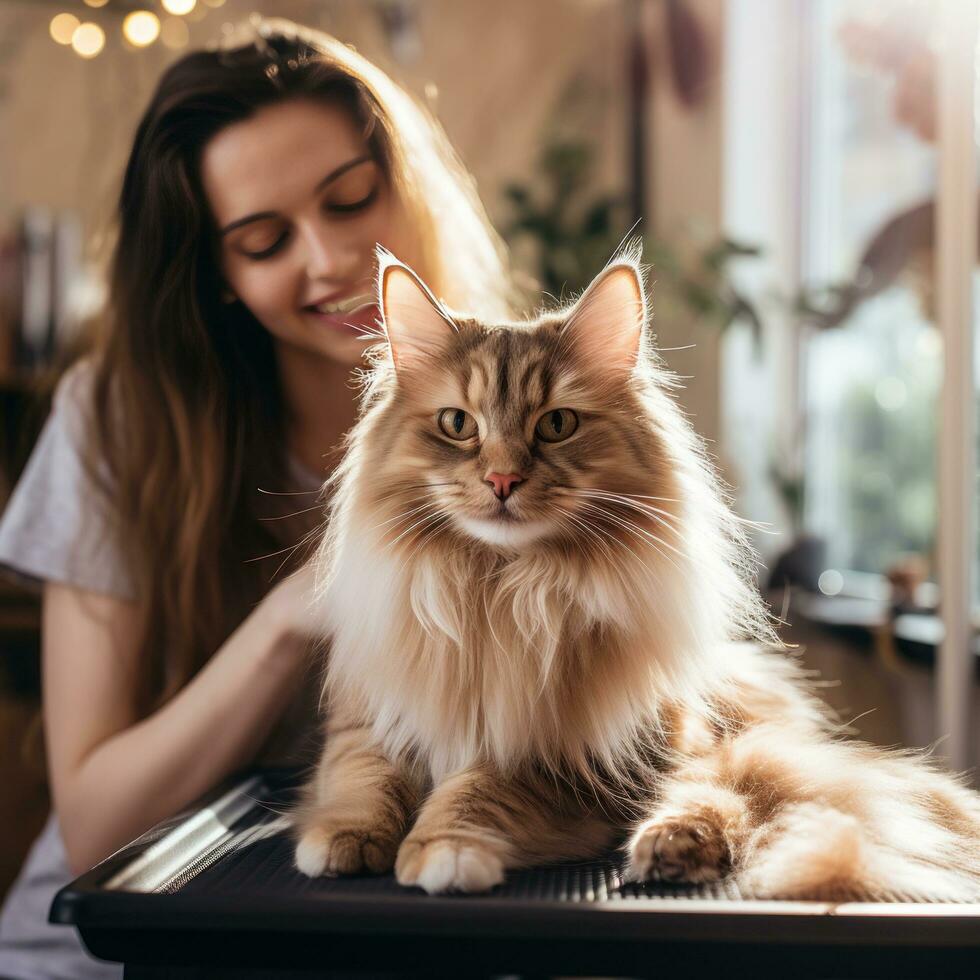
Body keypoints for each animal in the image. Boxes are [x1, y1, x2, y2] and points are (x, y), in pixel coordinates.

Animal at [292, 249, 980, 900]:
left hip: (709, 749)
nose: (502, 479)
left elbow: (475, 789)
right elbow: (362, 778)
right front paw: (343, 838)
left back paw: (673, 847)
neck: (502, 596)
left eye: (556, 424)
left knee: (727, 798)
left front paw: (444, 849)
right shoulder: (366, 719)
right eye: (458, 424)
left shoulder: (572, 761)